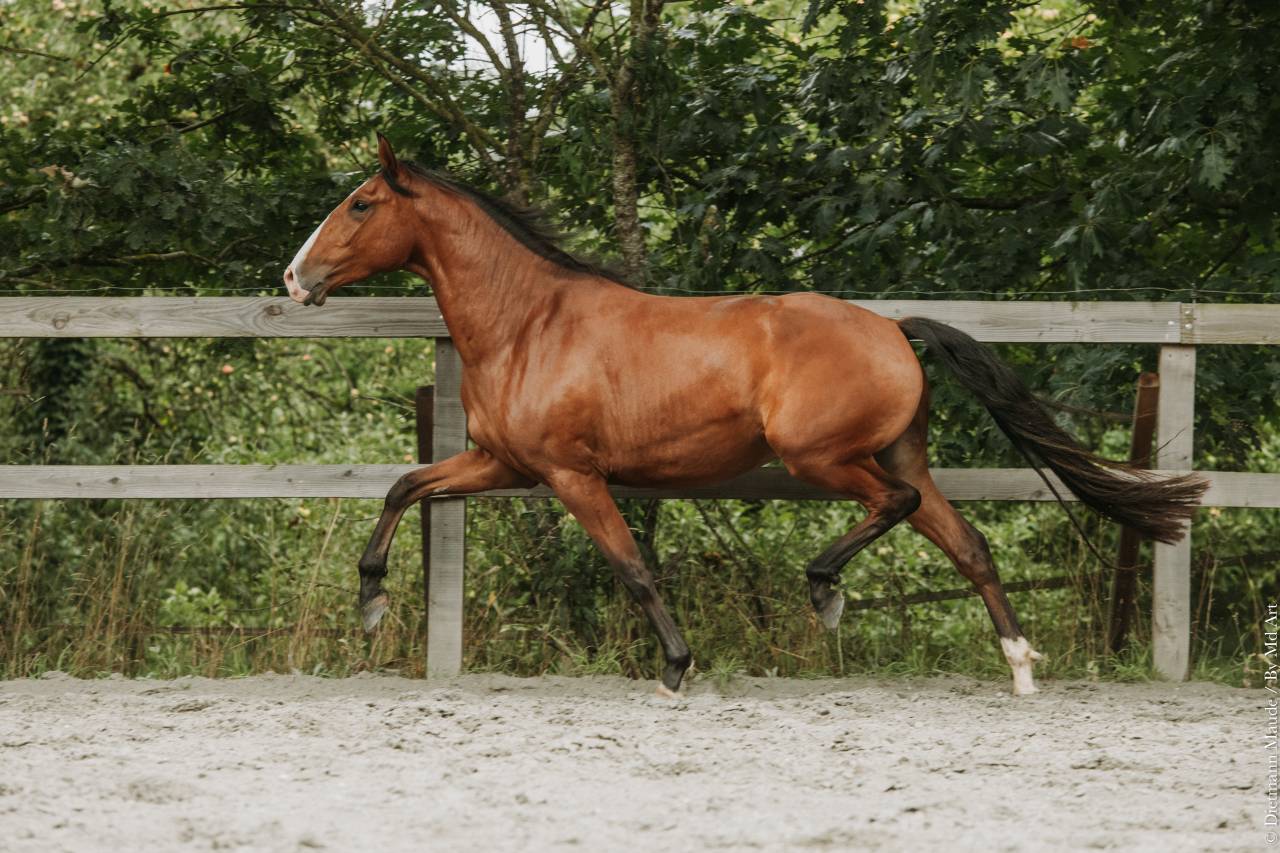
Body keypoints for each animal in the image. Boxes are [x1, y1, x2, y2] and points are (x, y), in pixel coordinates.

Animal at [283, 134, 1205, 696]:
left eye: (361, 203)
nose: (295, 278)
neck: (528, 322)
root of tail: (892, 327)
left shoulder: (571, 473)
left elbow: (632, 568)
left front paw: (677, 667)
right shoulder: (502, 463)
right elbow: (405, 485)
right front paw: (371, 601)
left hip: (820, 456)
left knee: (895, 506)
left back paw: (825, 587)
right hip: (900, 452)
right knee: (967, 543)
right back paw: (1019, 667)